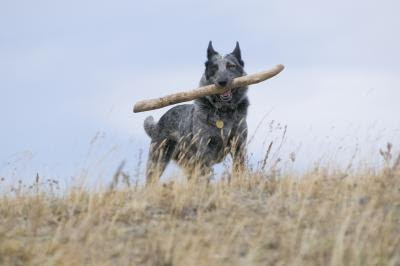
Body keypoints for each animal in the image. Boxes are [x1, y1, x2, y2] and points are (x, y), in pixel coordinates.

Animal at [144, 41, 250, 184]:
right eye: (214, 67)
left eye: (231, 66)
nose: (222, 82)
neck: (223, 112)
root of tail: (158, 124)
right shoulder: (205, 151)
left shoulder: (239, 147)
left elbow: (239, 171)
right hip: (158, 161)